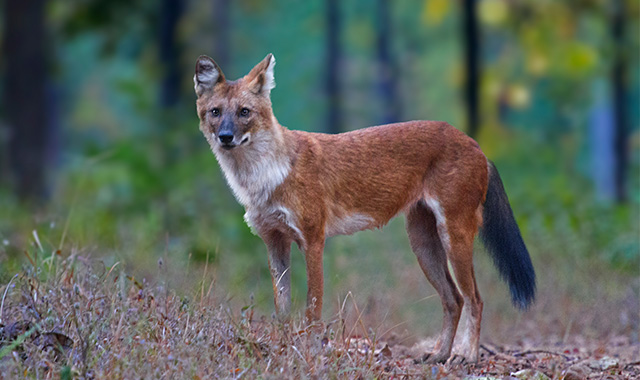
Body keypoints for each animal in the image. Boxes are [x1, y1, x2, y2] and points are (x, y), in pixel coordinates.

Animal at [194, 53, 536, 362]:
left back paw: (469, 357)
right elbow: (283, 310)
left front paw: (310, 355)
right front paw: (283, 352)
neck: (263, 177)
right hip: (422, 243)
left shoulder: (313, 240)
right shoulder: (274, 242)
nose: (225, 137)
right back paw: (439, 355)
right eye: (215, 112)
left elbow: (312, 307)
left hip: (455, 236)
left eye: (244, 112)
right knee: (453, 299)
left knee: (475, 299)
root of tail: (477, 145)